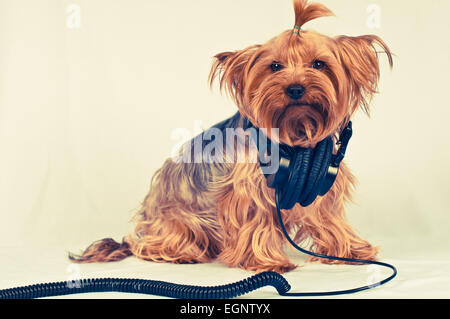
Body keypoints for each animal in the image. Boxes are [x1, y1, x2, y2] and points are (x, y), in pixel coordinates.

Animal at [69, 0, 390, 276]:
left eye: (319, 64)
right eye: (275, 67)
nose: (296, 88)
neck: (295, 133)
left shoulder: (317, 182)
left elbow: (327, 218)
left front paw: (350, 251)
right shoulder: (249, 189)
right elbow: (256, 222)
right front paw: (267, 262)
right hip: (180, 220)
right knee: (149, 245)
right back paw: (180, 253)